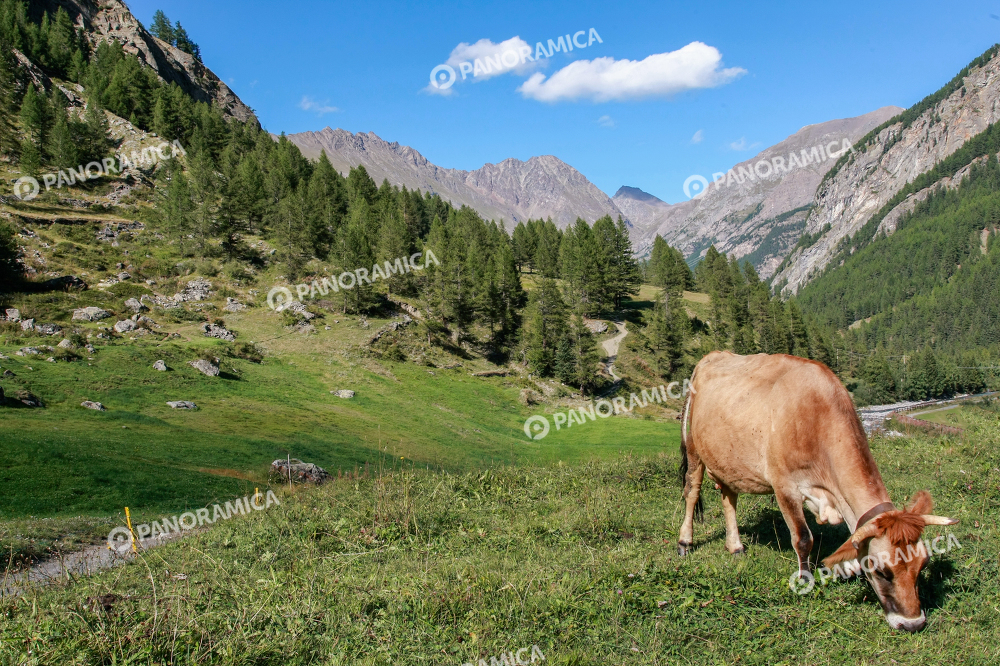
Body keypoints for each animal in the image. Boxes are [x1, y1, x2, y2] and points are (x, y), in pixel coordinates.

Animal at [677, 351, 957, 632]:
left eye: (923, 565)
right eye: (880, 571)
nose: (913, 624)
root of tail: (713, 356)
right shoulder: (785, 486)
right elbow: (803, 538)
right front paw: (804, 580)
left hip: (727, 460)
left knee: (729, 498)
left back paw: (735, 546)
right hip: (693, 447)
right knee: (692, 492)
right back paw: (685, 541)